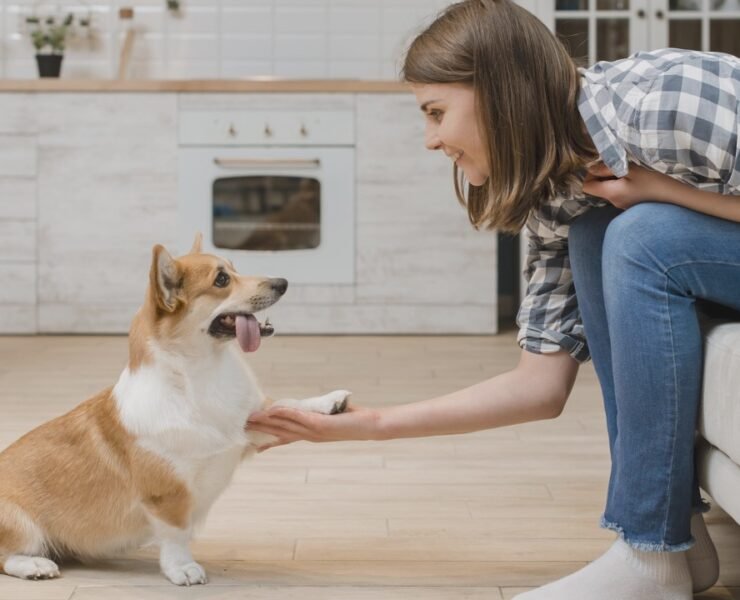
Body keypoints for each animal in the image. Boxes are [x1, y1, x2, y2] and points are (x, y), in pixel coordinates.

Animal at [0, 234, 350, 584]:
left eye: (235, 268)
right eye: (221, 280)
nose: (283, 282)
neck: (202, 372)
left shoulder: (251, 426)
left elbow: (287, 403)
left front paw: (329, 401)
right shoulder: (168, 494)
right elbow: (176, 533)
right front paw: (182, 568)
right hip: (20, 523)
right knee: (7, 557)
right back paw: (35, 566)